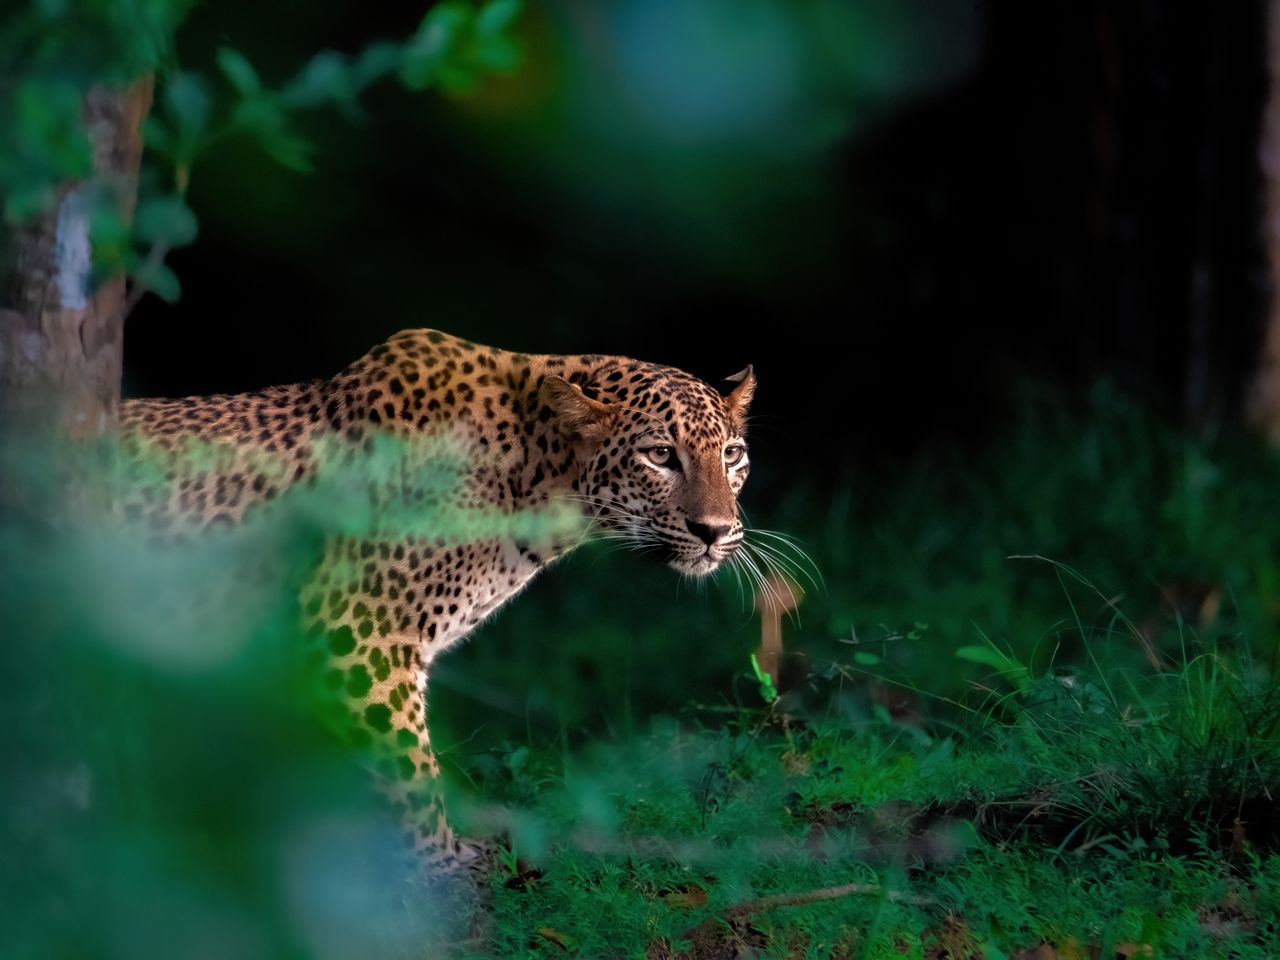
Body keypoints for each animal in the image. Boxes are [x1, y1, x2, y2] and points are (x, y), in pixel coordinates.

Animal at [119, 327, 758, 875]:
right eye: (660, 456)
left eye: (731, 455)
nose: (715, 531)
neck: (538, 479)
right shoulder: (358, 634)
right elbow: (410, 768)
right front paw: (440, 863)